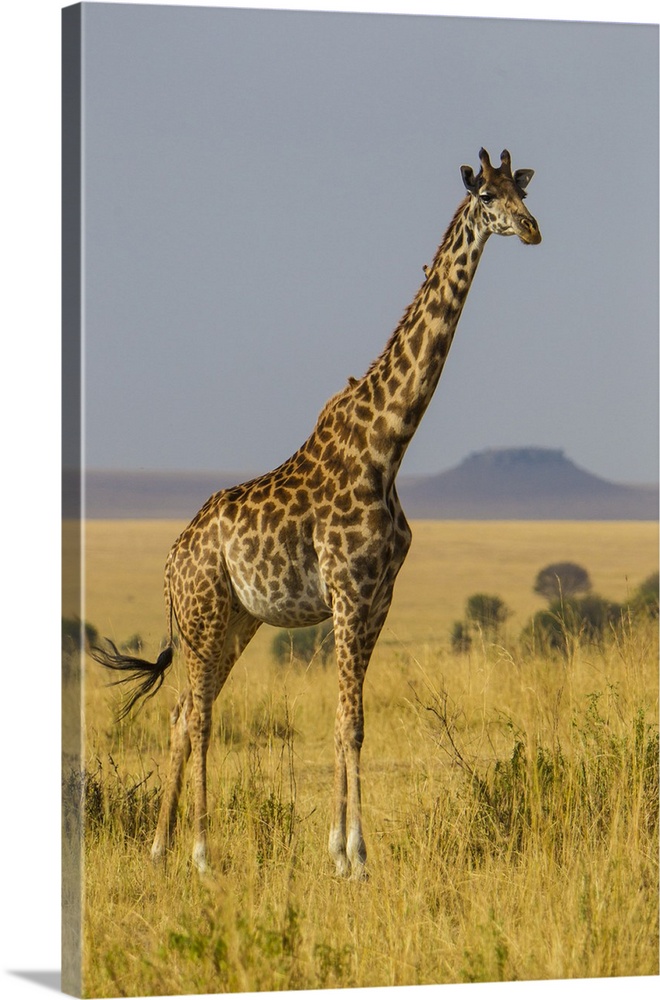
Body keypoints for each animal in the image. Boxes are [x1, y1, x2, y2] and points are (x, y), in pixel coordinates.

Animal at [96, 146, 540, 876]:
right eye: (486, 197)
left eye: (523, 192)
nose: (532, 229)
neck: (388, 444)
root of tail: (170, 559)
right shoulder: (348, 592)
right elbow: (349, 723)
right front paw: (356, 855)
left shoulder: (376, 598)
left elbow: (343, 724)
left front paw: (337, 851)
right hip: (202, 614)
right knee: (199, 716)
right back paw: (200, 853)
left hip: (237, 621)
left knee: (185, 712)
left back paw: (161, 850)